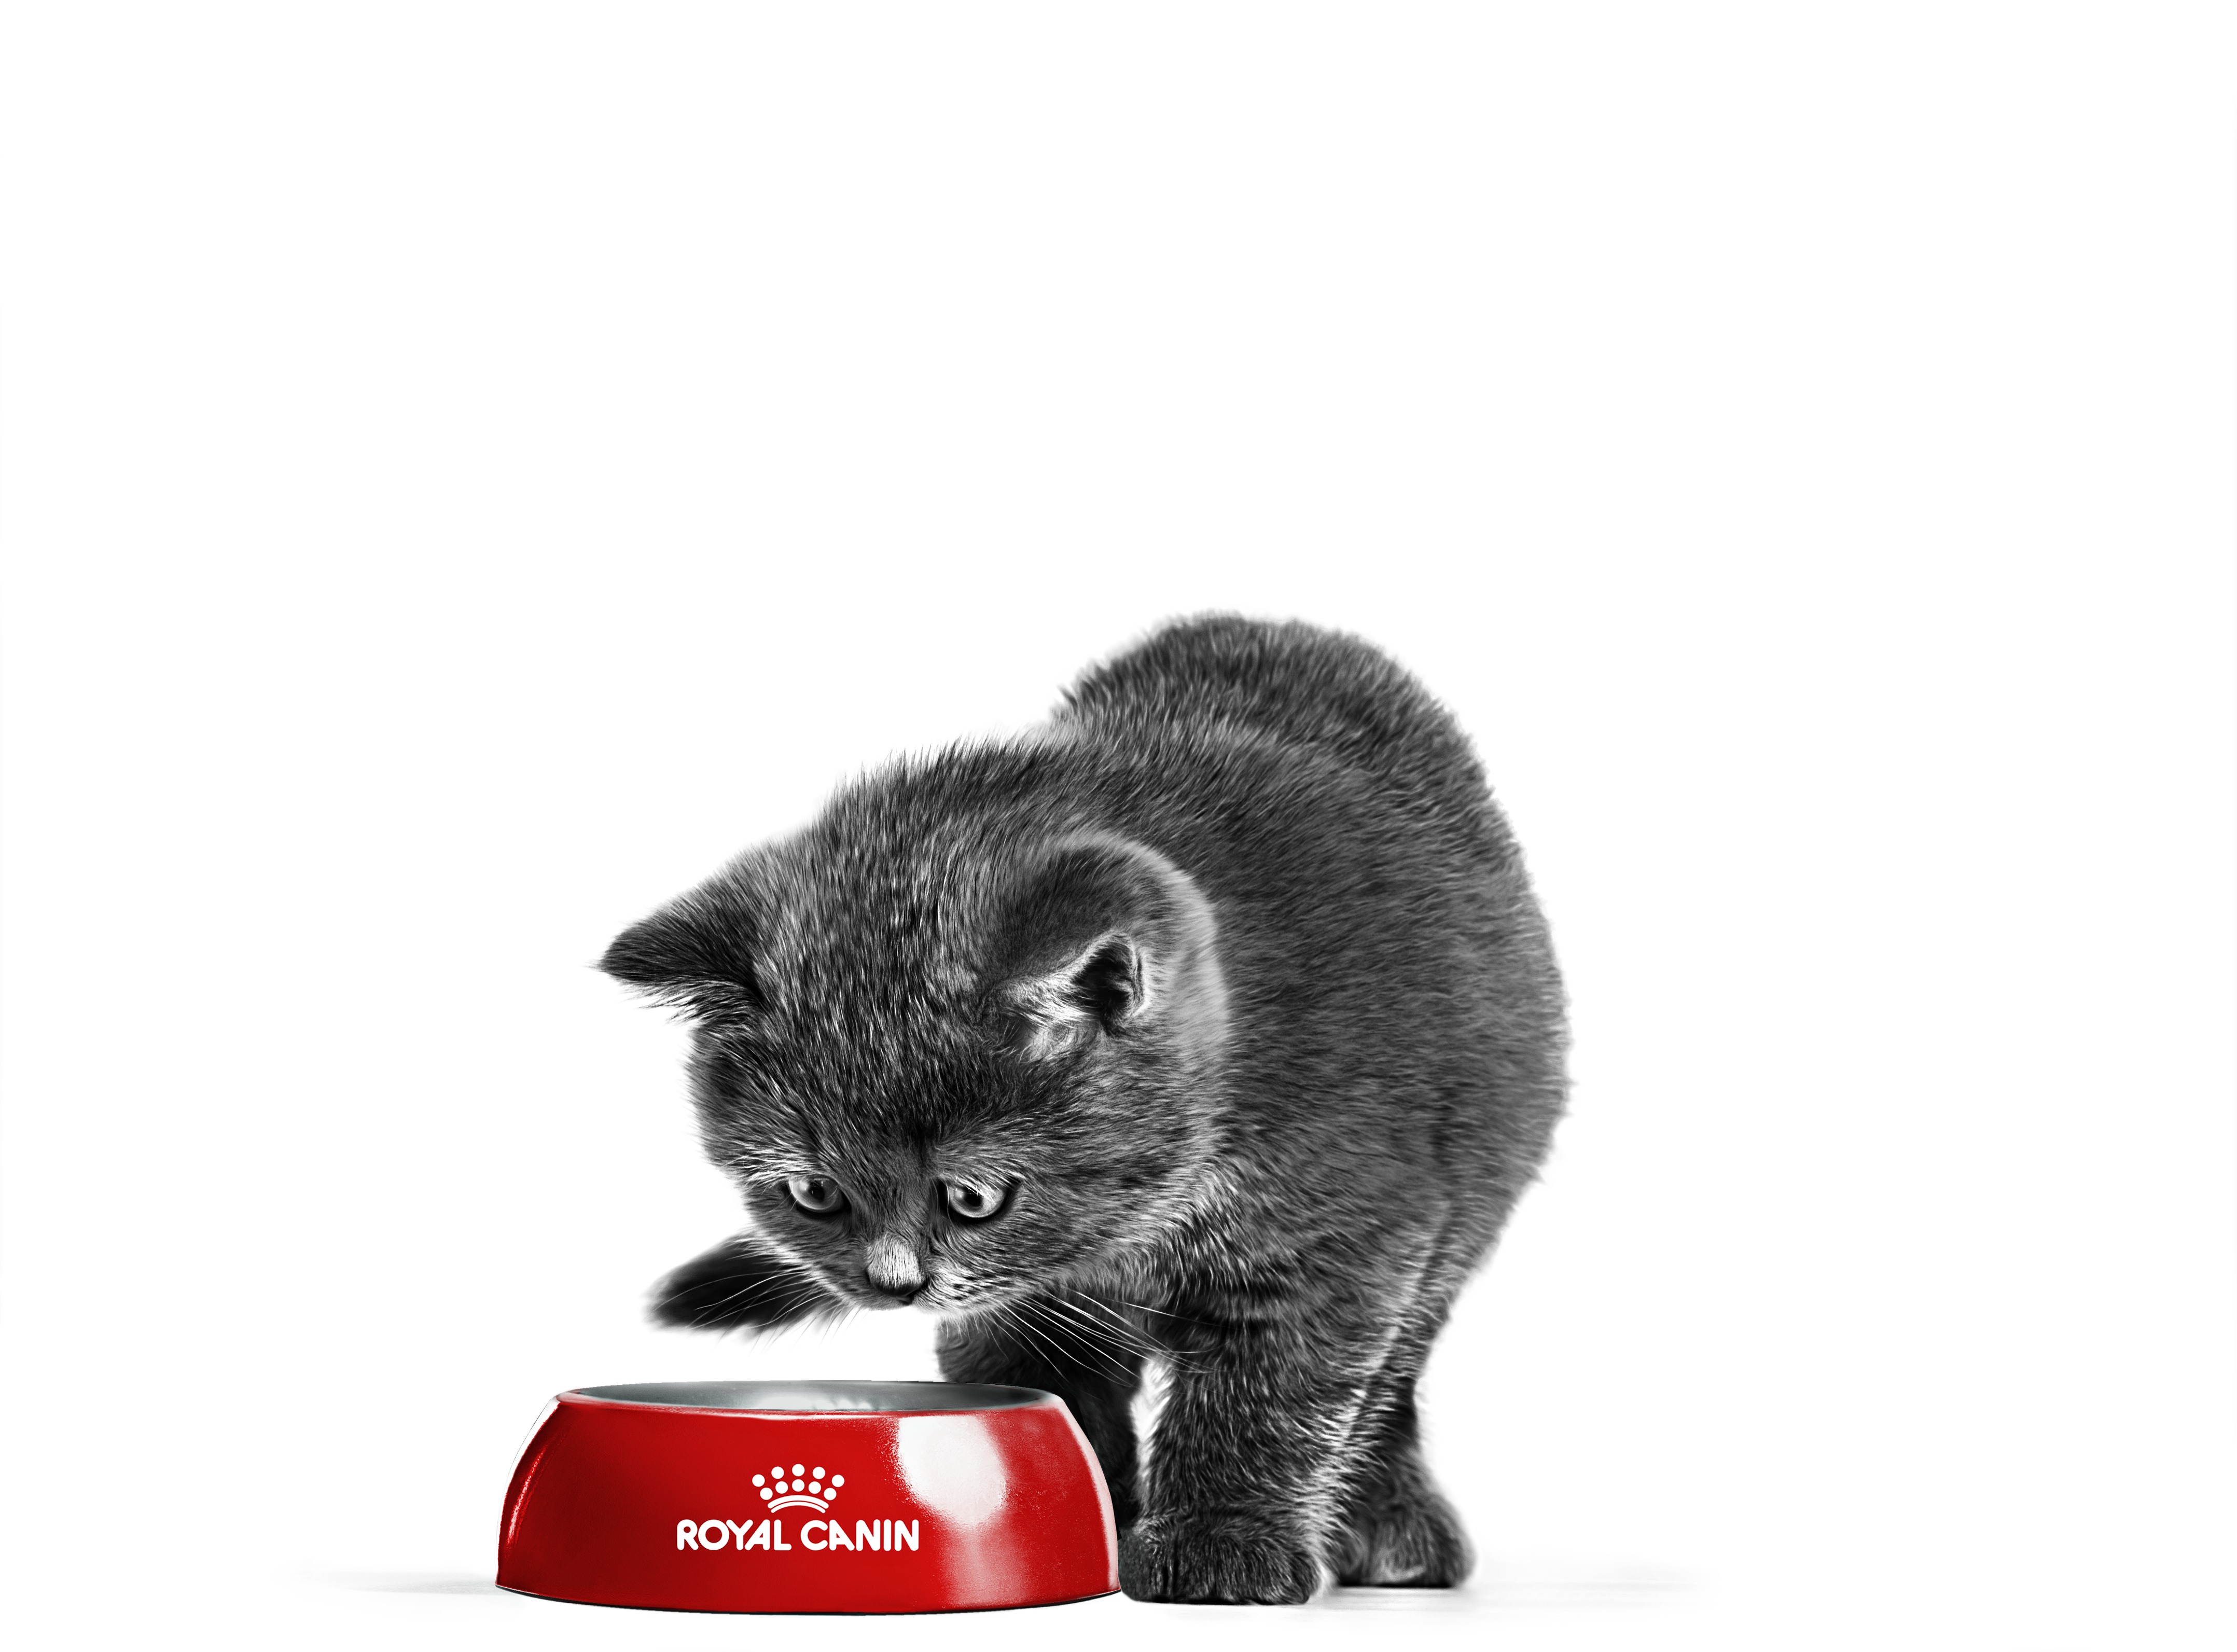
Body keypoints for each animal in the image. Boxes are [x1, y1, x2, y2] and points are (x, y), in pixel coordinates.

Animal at [604, 608, 1566, 1593]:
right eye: (813, 1193)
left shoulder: (1346, 1233)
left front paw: (1220, 1543)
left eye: (973, 1196)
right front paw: (1069, 1511)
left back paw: (1392, 1529)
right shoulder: (1015, 1300)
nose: (893, 1283)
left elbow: (1273, 1388)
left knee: (1390, 1376)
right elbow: (1029, 1376)